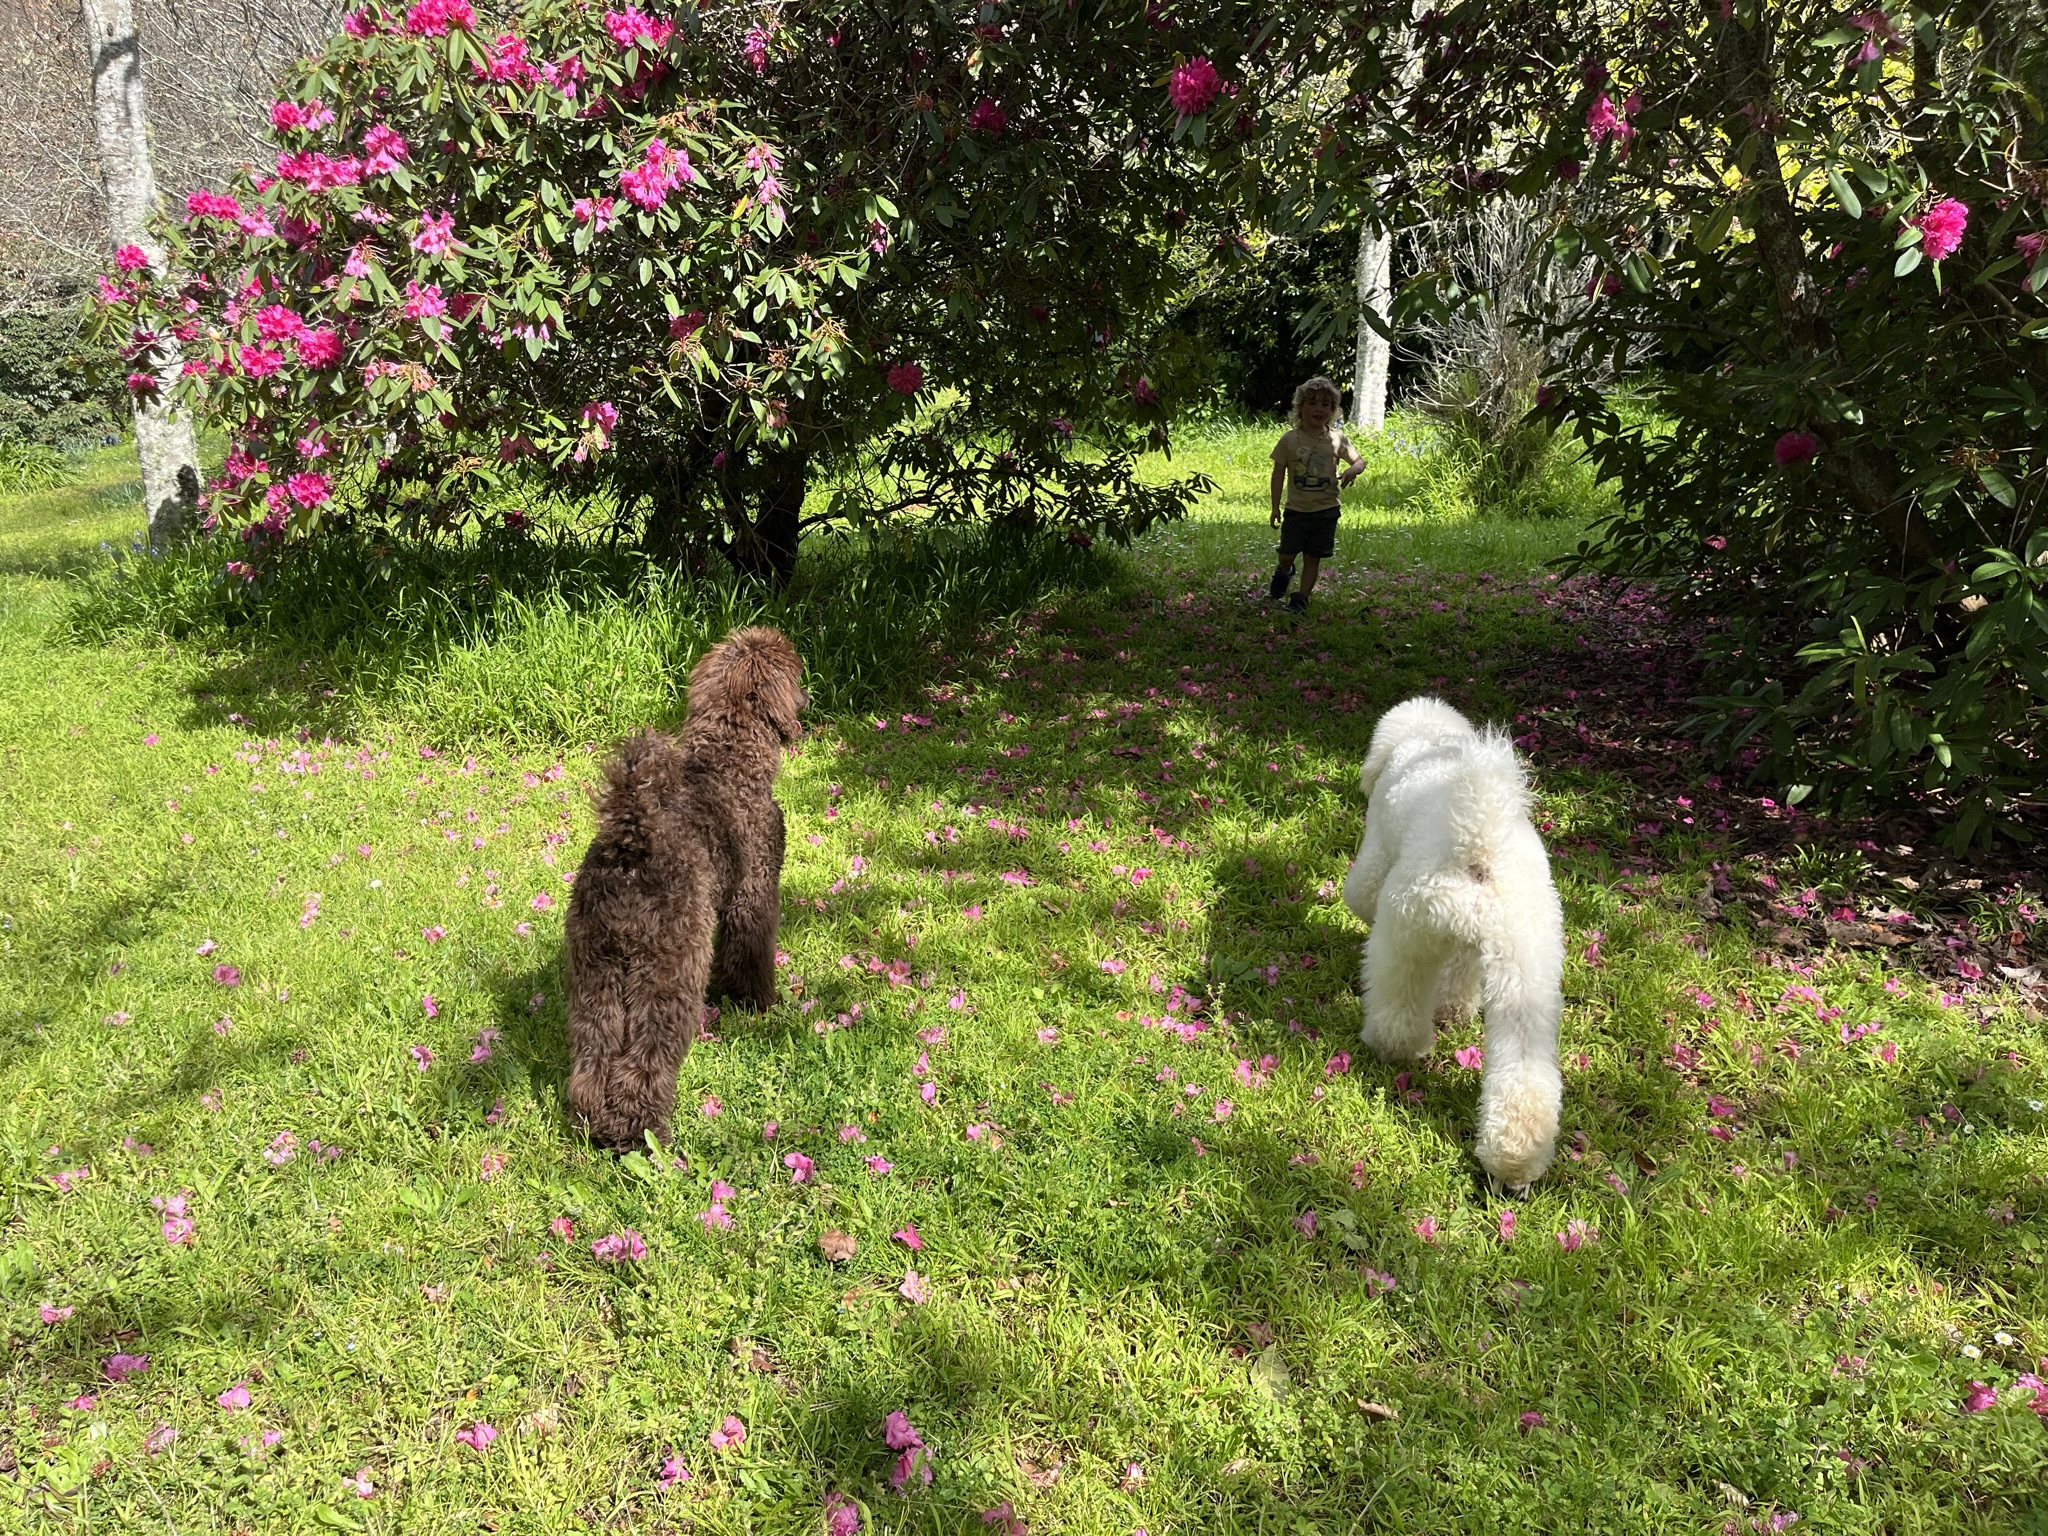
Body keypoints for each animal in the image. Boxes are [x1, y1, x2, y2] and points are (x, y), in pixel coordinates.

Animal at [569, 618, 806, 1146]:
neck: (729, 759)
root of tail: (632, 848)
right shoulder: (752, 898)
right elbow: (751, 956)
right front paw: (756, 1004)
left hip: (597, 973)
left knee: (593, 1057)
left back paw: (593, 1122)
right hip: (665, 973)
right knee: (646, 1059)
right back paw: (638, 1131)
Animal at [1343, 696, 1564, 1187]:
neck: (1429, 741)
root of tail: (1479, 844)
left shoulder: (1376, 854)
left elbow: (1360, 895)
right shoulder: (1473, 947)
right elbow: (1460, 979)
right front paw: (1453, 1010)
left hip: (1404, 930)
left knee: (1398, 1000)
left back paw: (1391, 1049)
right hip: (1525, 973)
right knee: (1525, 1074)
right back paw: (1515, 1157)